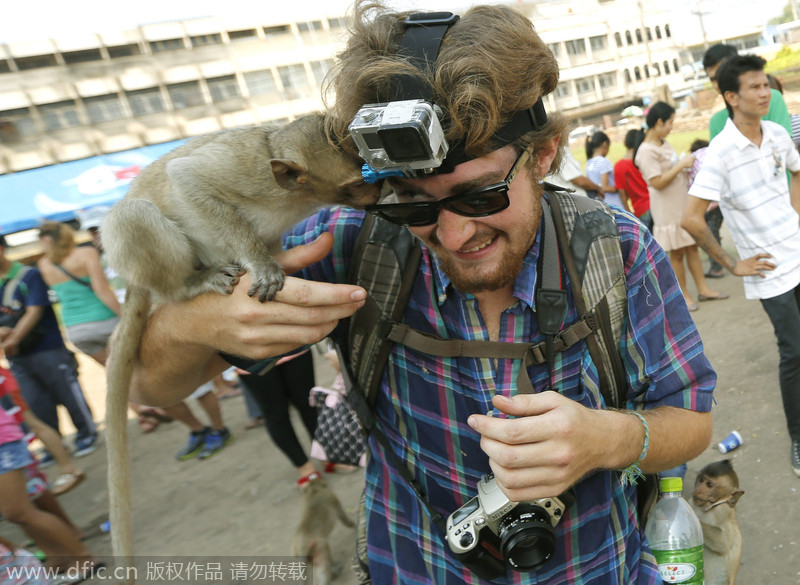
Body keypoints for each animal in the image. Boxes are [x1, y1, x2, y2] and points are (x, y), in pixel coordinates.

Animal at [98, 114, 380, 576]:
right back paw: (188, 284)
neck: (295, 195)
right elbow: (188, 177)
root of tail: (133, 279)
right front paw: (261, 264)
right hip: (141, 259)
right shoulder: (250, 173)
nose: (379, 195)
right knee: (137, 215)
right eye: (357, 184)